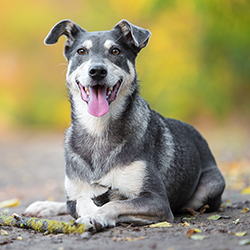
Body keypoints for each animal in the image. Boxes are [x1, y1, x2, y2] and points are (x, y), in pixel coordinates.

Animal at [24, 19, 226, 230]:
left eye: (115, 51)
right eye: (81, 51)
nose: (97, 71)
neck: (98, 129)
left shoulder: (157, 201)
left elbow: (115, 203)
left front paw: (97, 216)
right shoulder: (75, 197)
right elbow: (81, 200)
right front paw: (89, 213)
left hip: (211, 187)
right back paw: (43, 206)